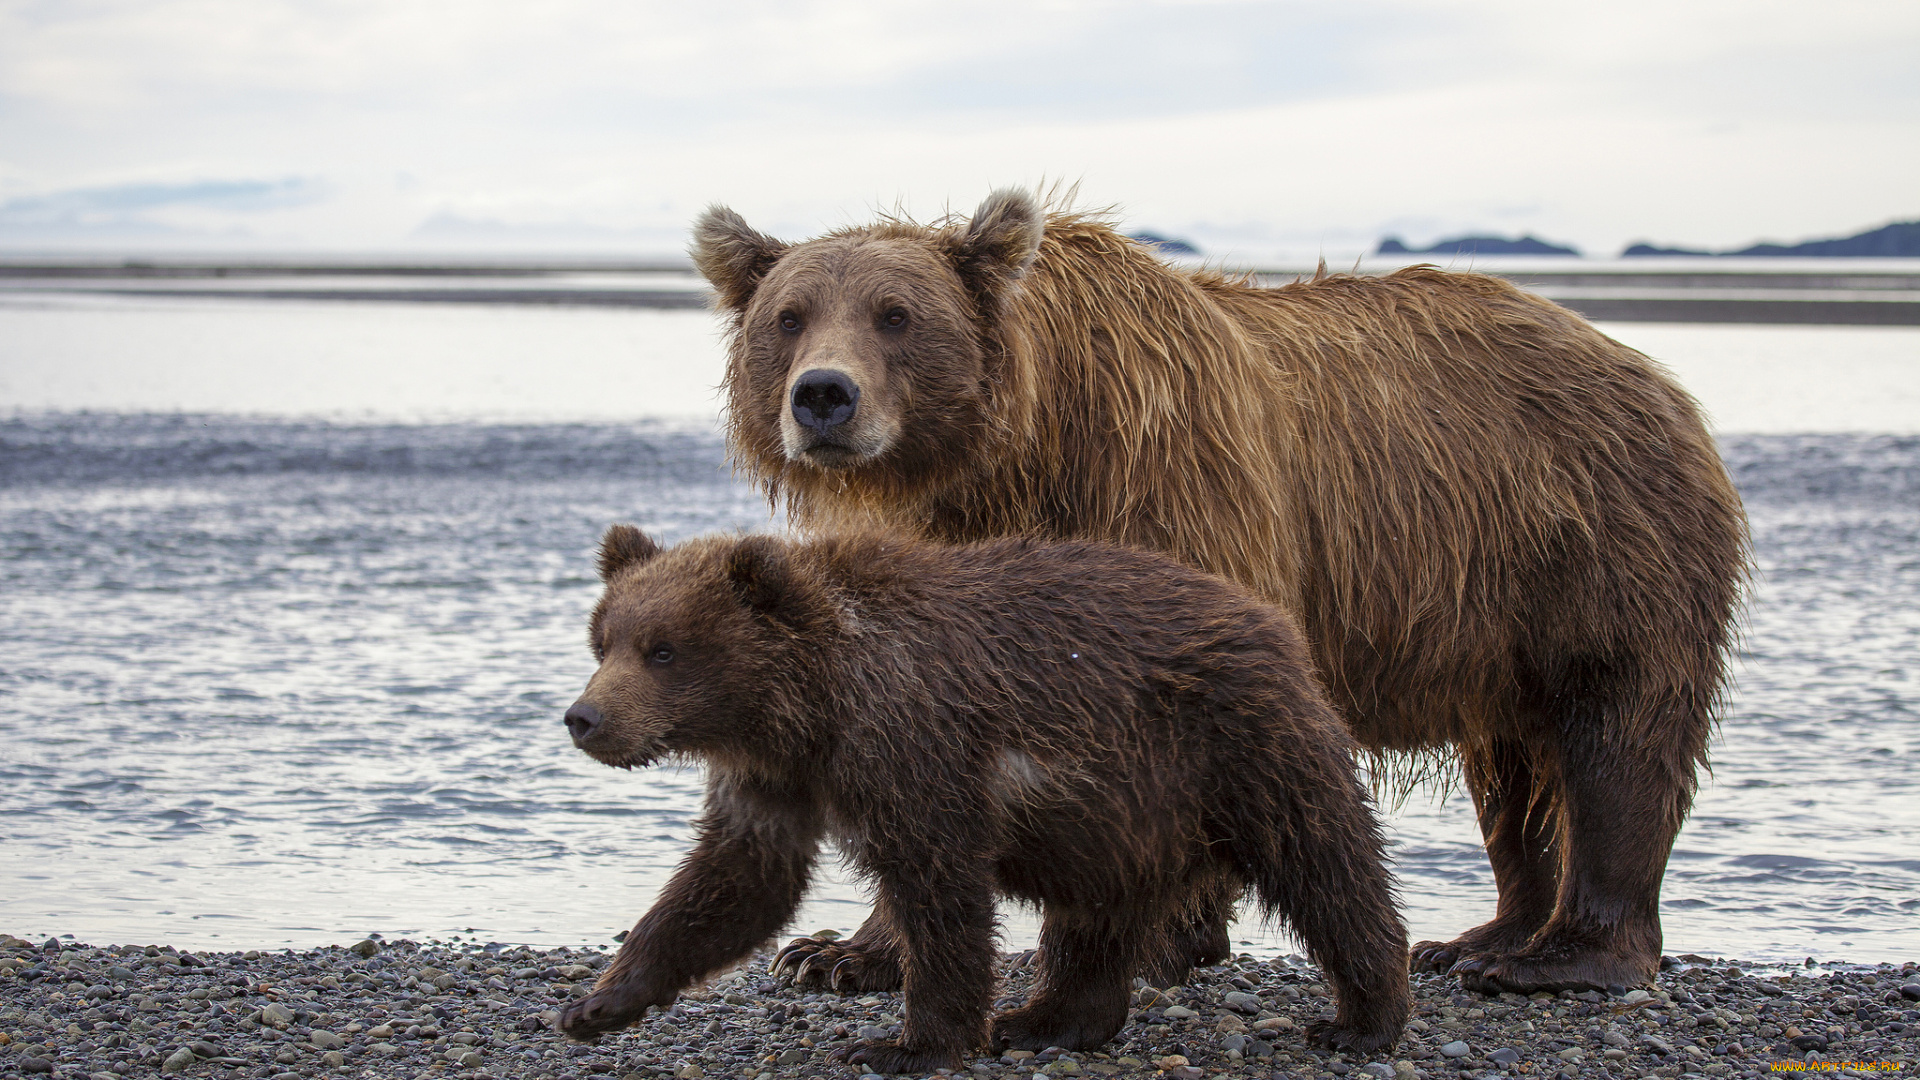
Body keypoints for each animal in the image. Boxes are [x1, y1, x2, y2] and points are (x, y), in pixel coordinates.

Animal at [556, 525, 1410, 1073]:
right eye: (604, 639)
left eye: (665, 650)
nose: (584, 717)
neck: (812, 709)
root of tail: (1272, 618)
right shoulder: (774, 780)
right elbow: (734, 882)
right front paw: (600, 1004)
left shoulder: (915, 747)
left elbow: (938, 892)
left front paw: (904, 1044)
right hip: (1120, 810)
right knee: (1096, 916)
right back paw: (1046, 1021)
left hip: (1239, 747)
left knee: (1324, 865)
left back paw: (1363, 1020)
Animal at [691, 189, 1750, 996]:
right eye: (791, 315)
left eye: (896, 314)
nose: (824, 396)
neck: (1015, 458)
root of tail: (1651, 373)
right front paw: (836, 953)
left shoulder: (1172, 502)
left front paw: (1162, 935)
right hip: (1501, 616)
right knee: (1513, 770)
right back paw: (1479, 937)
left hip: (1600, 543)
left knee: (1617, 736)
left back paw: (1561, 957)